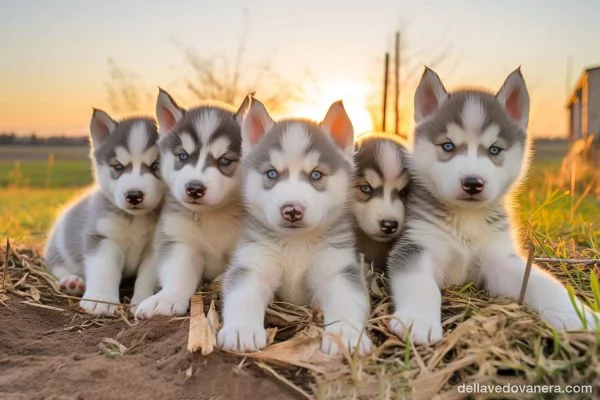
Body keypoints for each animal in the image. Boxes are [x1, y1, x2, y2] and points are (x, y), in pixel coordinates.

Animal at [43, 109, 166, 316]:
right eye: (118, 167)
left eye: (156, 165)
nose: (134, 195)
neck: (136, 221)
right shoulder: (101, 237)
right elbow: (104, 270)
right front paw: (100, 300)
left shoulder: (154, 248)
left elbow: (147, 276)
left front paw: (143, 300)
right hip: (59, 247)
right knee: (57, 266)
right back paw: (72, 282)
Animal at [134, 88, 248, 318]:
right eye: (183, 156)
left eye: (224, 161)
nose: (194, 188)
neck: (214, 216)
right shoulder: (179, 238)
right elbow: (178, 272)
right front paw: (166, 298)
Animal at [218, 97, 372, 356]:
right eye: (271, 173)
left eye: (316, 175)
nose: (292, 210)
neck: (296, 244)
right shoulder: (253, 265)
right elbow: (243, 295)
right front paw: (241, 329)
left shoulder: (337, 270)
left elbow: (346, 301)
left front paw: (345, 334)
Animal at [386, 66, 596, 344]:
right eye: (448, 146)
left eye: (495, 150)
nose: (472, 183)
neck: (467, 218)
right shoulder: (415, 246)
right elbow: (421, 284)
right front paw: (417, 320)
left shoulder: (500, 259)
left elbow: (543, 282)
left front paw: (574, 313)